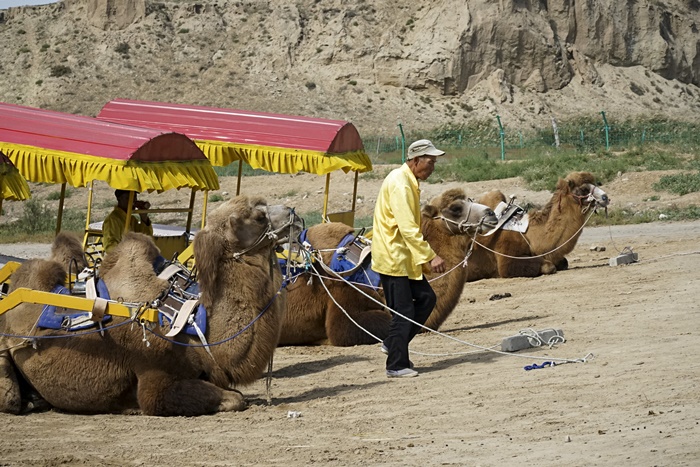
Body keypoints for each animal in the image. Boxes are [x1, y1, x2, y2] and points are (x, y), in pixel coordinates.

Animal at [0, 197, 298, 416]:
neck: (190, 321)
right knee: (10, 399)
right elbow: (234, 398)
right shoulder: (155, 377)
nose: (293, 213)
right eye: (258, 216)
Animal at [468, 172, 608, 282]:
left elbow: (564, 262)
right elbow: (549, 266)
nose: (605, 197)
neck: (530, 236)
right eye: (584, 188)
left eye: (595, 183)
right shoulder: (506, 261)